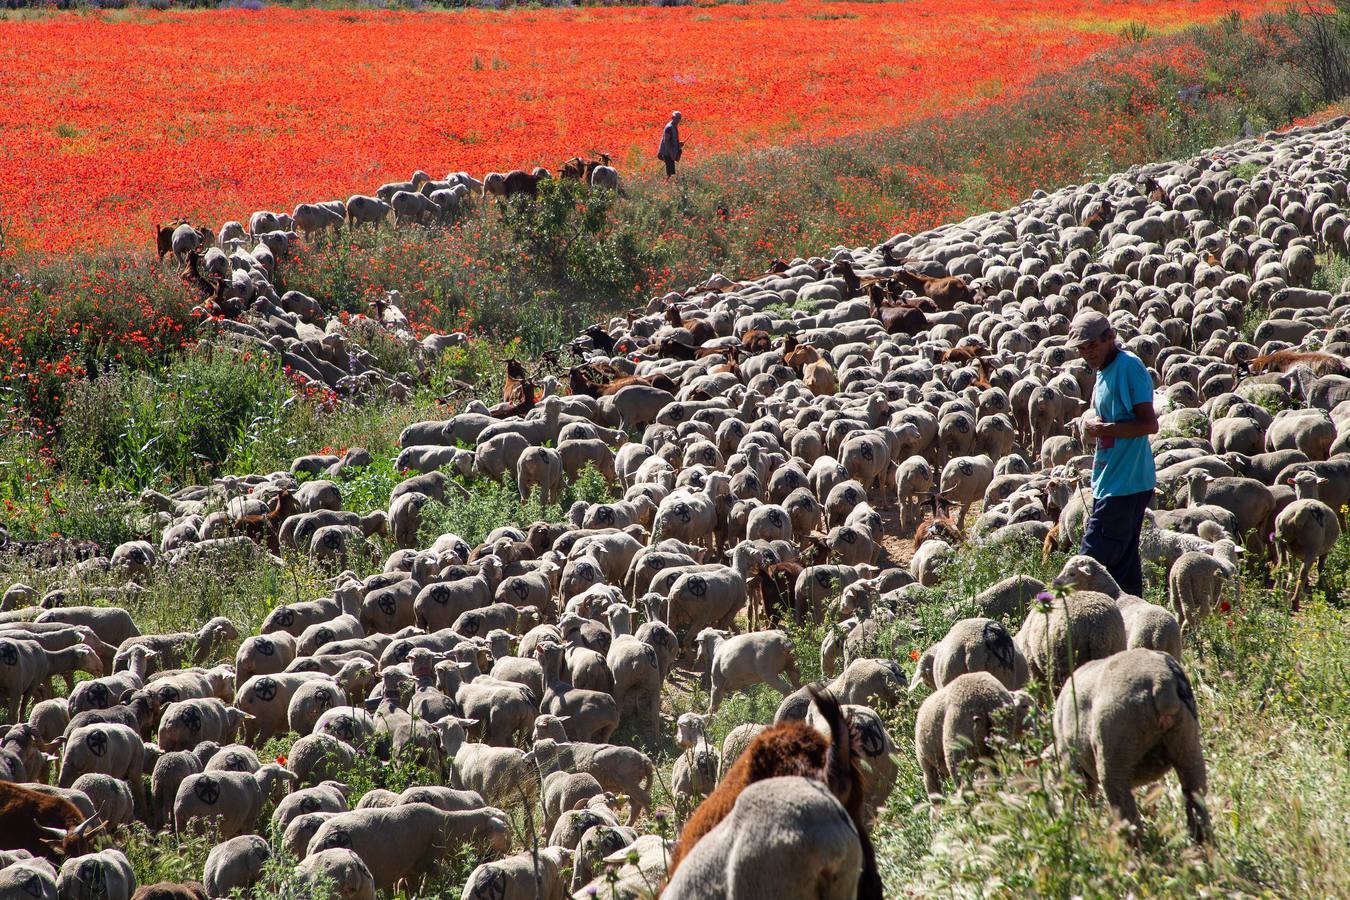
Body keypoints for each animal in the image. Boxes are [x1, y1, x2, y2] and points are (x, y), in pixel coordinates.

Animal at [1054, 648, 1210, 843]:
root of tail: (1160, 681)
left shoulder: (1069, 757)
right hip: (1187, 740)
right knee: (1195, 793)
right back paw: (1202, 844)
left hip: (1114, 745)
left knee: (1123, 804)